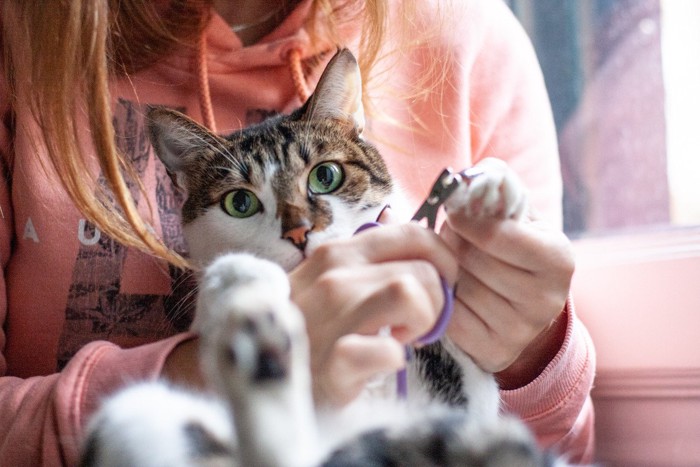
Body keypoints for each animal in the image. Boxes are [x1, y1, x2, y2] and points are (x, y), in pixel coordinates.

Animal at [79, 49, 560, 466]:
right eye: (240, 202)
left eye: (325, 175)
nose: (298, 231)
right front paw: (239, 277)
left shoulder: (466, 386)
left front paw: (492, 186)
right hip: (135, 409)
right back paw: (262, 348)